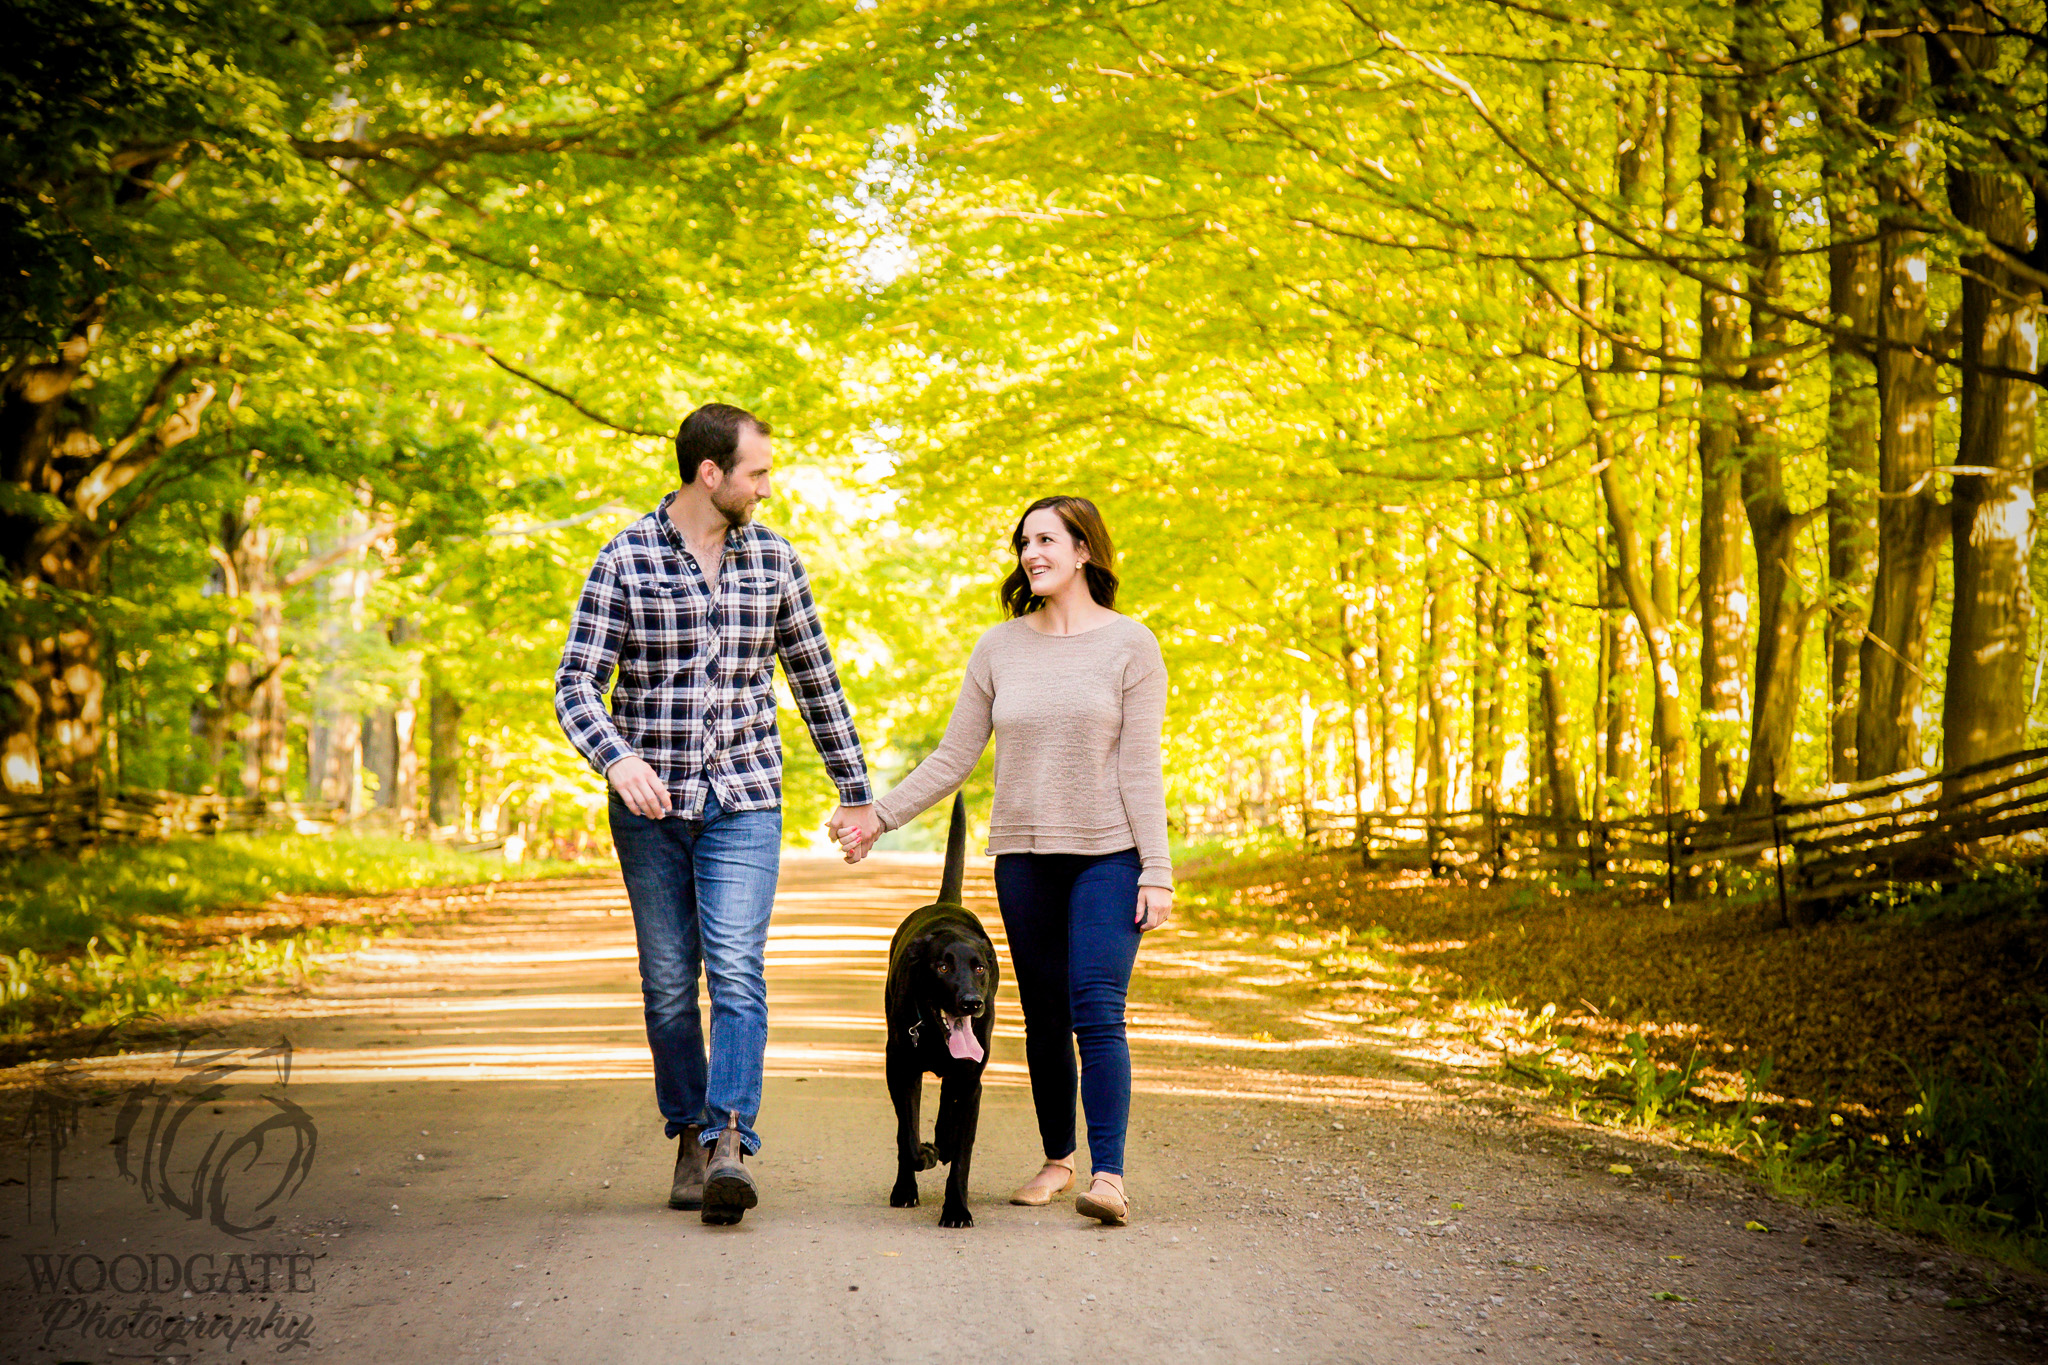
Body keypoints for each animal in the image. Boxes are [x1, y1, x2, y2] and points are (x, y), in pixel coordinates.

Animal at [884, 789, 995, 1227]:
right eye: (942, 967)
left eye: (979, 967)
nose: (971, 1002)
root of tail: (944, 902)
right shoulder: (900, 1068)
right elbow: (907, 1134)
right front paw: (917, 1168)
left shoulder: (971, 1080)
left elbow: (961, 1154)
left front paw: (957, 1210)